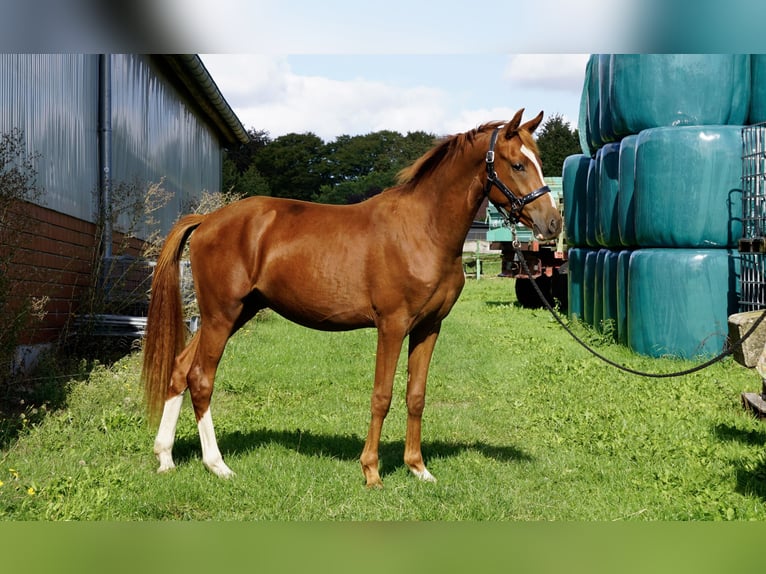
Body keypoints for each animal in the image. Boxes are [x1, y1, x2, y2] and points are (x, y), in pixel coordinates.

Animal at [141, 108, 562, 487]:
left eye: (539, 162)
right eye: (517, 164)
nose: (552, 223)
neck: (423, 230)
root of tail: (207, 220)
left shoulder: (429, 327)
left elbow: (416, 395)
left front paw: (418, 468)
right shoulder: (392, 326)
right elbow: (382, 395)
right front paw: (372, 471)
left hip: (235, 313)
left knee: (180, 369)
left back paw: (165, 457)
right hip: (221, 315)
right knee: (201, 378)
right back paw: (218, 465)